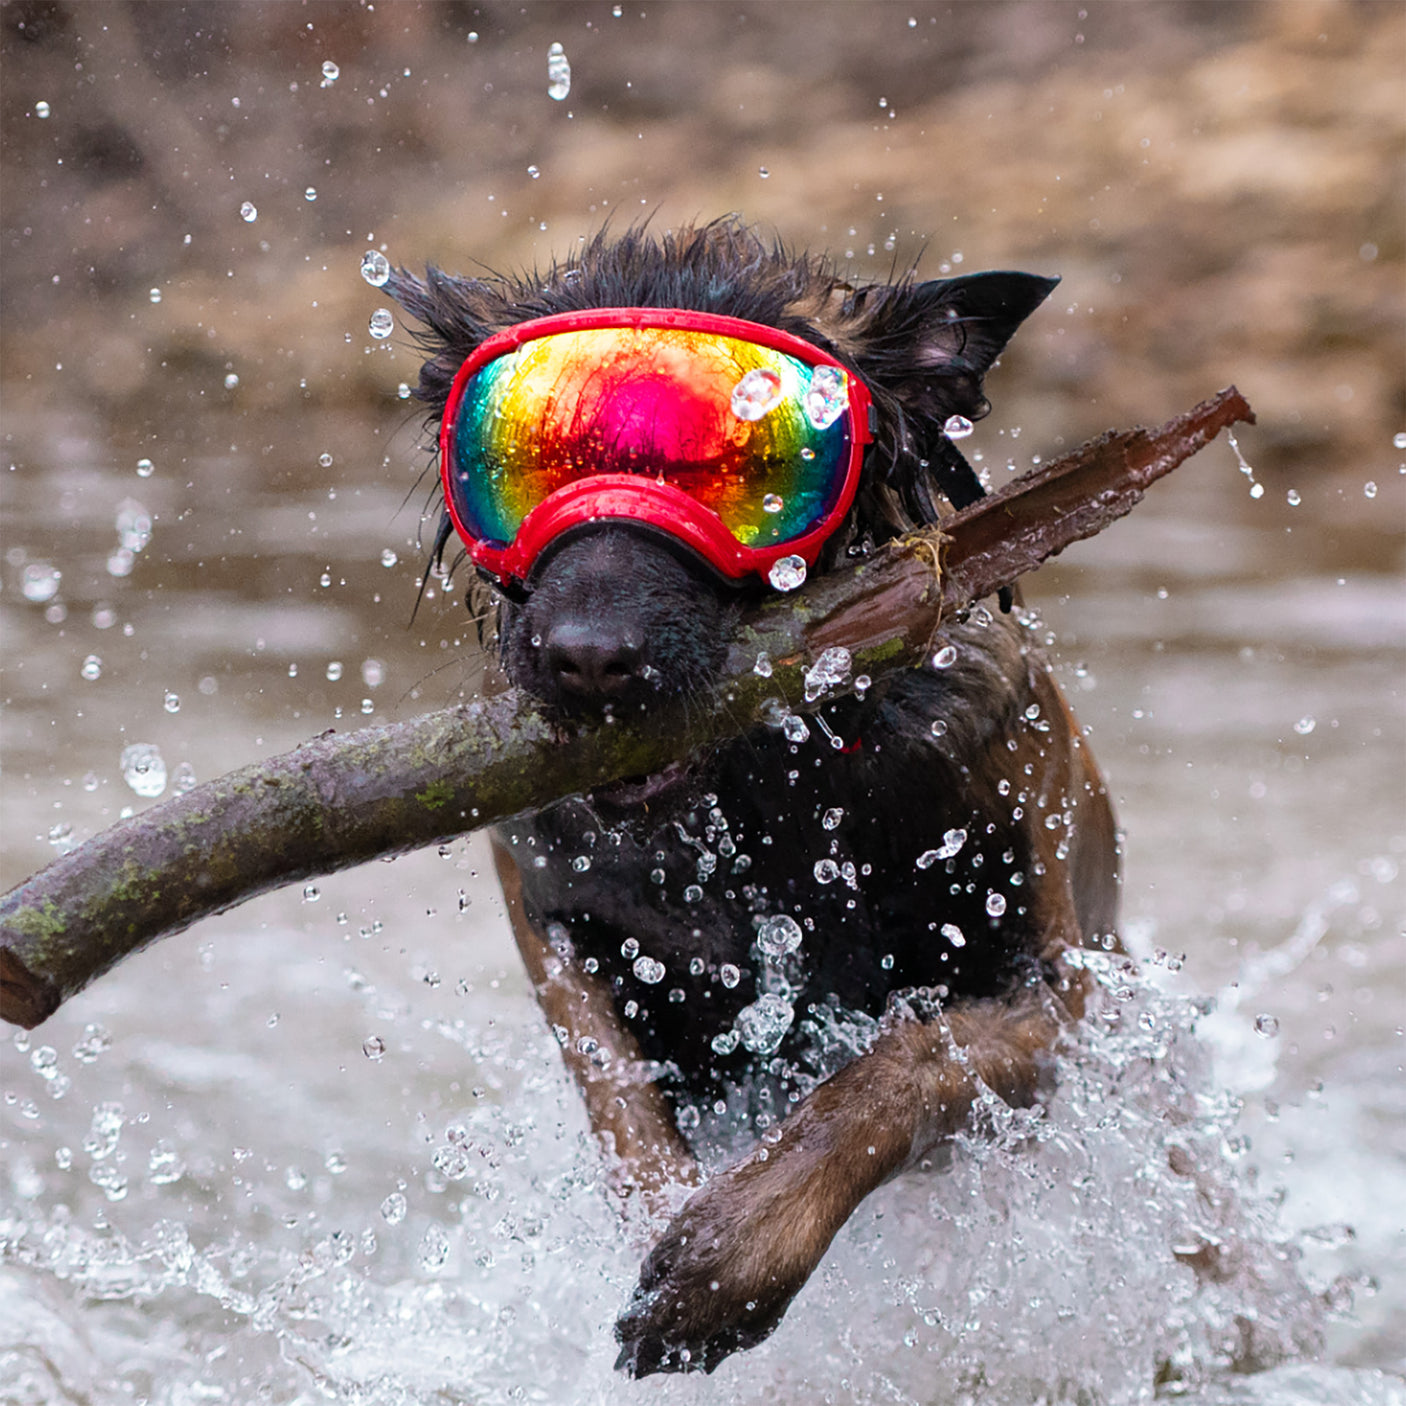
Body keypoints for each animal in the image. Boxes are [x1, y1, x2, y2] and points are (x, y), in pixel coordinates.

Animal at [385, 224, 1119, 1377]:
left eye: (752, 472)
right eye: (526, 462)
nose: (588, 659)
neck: (765, 804)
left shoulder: (1049, 998)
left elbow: (902, 1062)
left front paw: (729, 1259)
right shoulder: (554, 915)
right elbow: (621, 1106)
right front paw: (664, 1215)